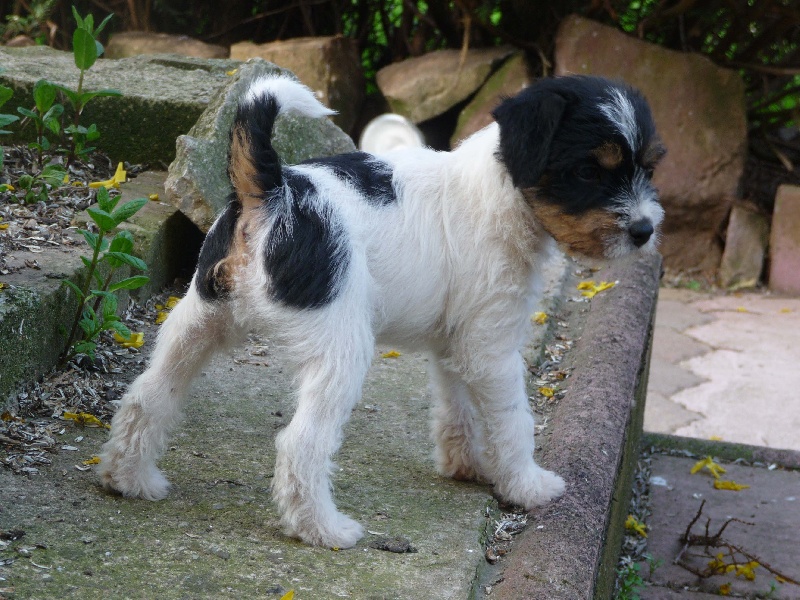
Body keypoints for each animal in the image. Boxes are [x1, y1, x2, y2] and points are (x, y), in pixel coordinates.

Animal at [97, 72, 664, 548]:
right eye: (590, 169)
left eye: (648, 165)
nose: (644, 231)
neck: (502, 190)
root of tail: (275, 193)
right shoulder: (493, 349)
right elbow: (513, 421)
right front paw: (527, 484)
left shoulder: (458, 345)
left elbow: (457, 408)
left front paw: (466, 465)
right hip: (341, 353)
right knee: (300, 445)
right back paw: (323, 530)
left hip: (197, 323)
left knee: (147, 398)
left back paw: (130, 479)